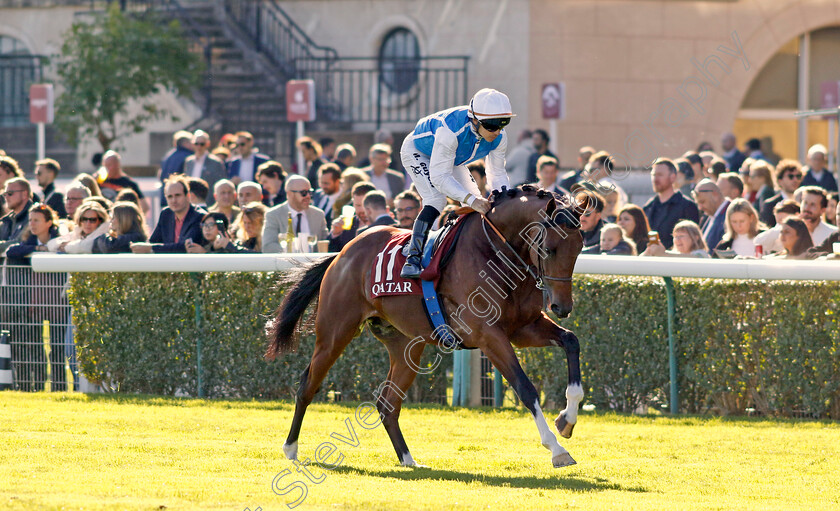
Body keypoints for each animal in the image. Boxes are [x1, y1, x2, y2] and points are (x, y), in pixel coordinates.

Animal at [266, 186, 588, 470]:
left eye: (579, 248)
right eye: (549, 249)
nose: (562, 307)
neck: (496, 253)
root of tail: (341, 253)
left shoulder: (523, 328)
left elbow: (572, 341)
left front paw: (567, 420)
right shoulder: (488, 335)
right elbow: (525, 387)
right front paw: (557, 449)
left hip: (406, 346)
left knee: (388, 403)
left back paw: (408, 459)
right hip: (335, 332)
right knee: (307, 385)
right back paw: (291, 448)